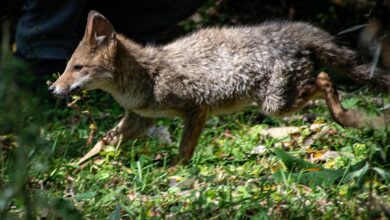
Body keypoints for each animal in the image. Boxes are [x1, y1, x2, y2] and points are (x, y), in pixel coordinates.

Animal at [49, 10, 390, 165]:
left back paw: (346, 117)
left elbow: (184, 151)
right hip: (279, 103)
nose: (53, 89)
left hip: (276, 105)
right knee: (324, 79)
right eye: (68, 67)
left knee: (324, 79)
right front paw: (74, 166)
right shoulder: (139, 119)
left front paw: (175, 172)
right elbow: (101, 143)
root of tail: (286, 30)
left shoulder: (196, 109)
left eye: (77, 68)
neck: (147, 77)